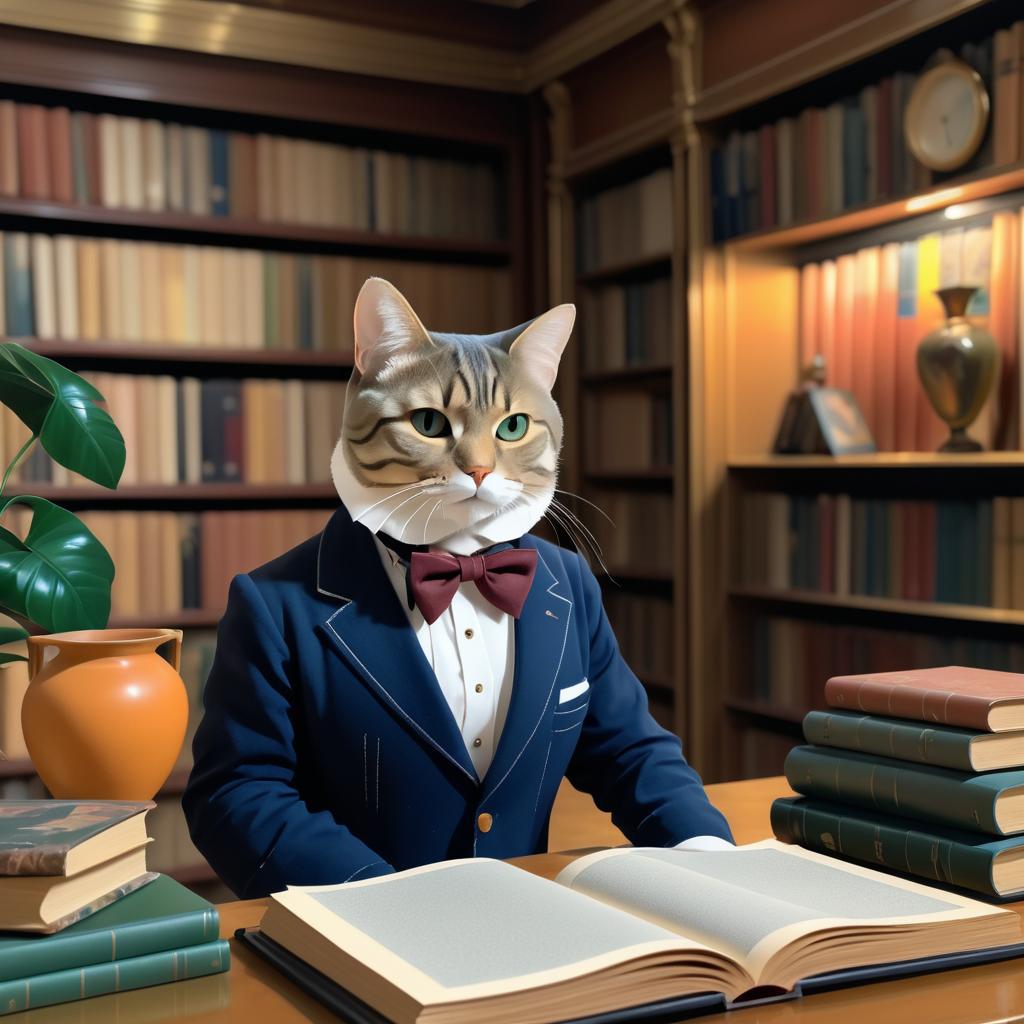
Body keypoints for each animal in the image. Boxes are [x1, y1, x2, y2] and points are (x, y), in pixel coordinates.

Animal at [182, 276, 729, 892]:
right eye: (428, 423)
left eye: (513, 427)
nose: (481, 471)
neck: (463, 566)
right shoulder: (243, 777)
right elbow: (247, 779)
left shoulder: (613, 695)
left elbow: (637, 742)